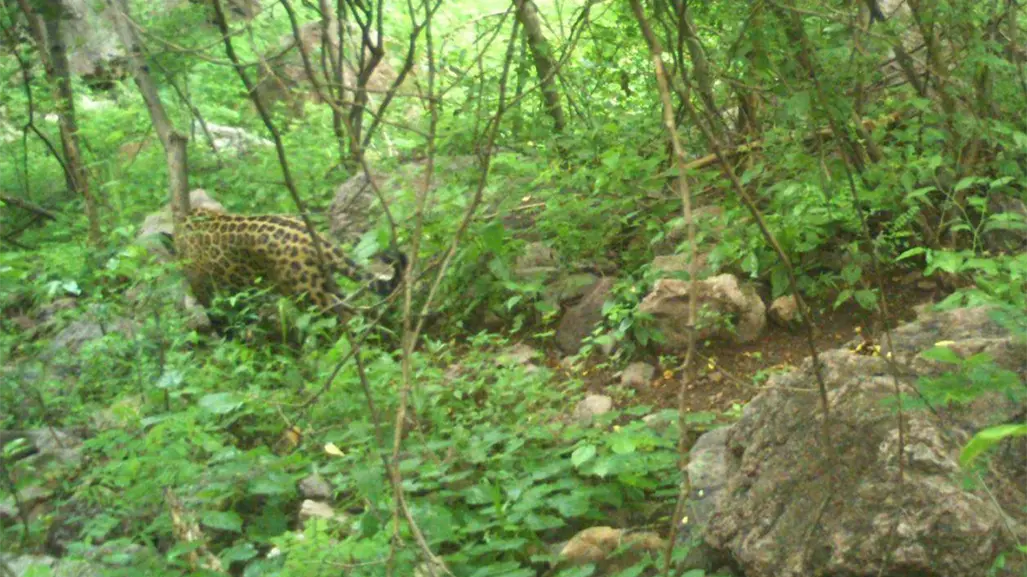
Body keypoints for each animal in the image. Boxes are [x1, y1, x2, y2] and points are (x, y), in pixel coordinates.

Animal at [170, 207, 407, 322]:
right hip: (319, 283)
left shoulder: (199, 281)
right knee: (352, 308)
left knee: (342, 315)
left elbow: (212, 307)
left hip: (305, 291)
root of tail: (313, 237)